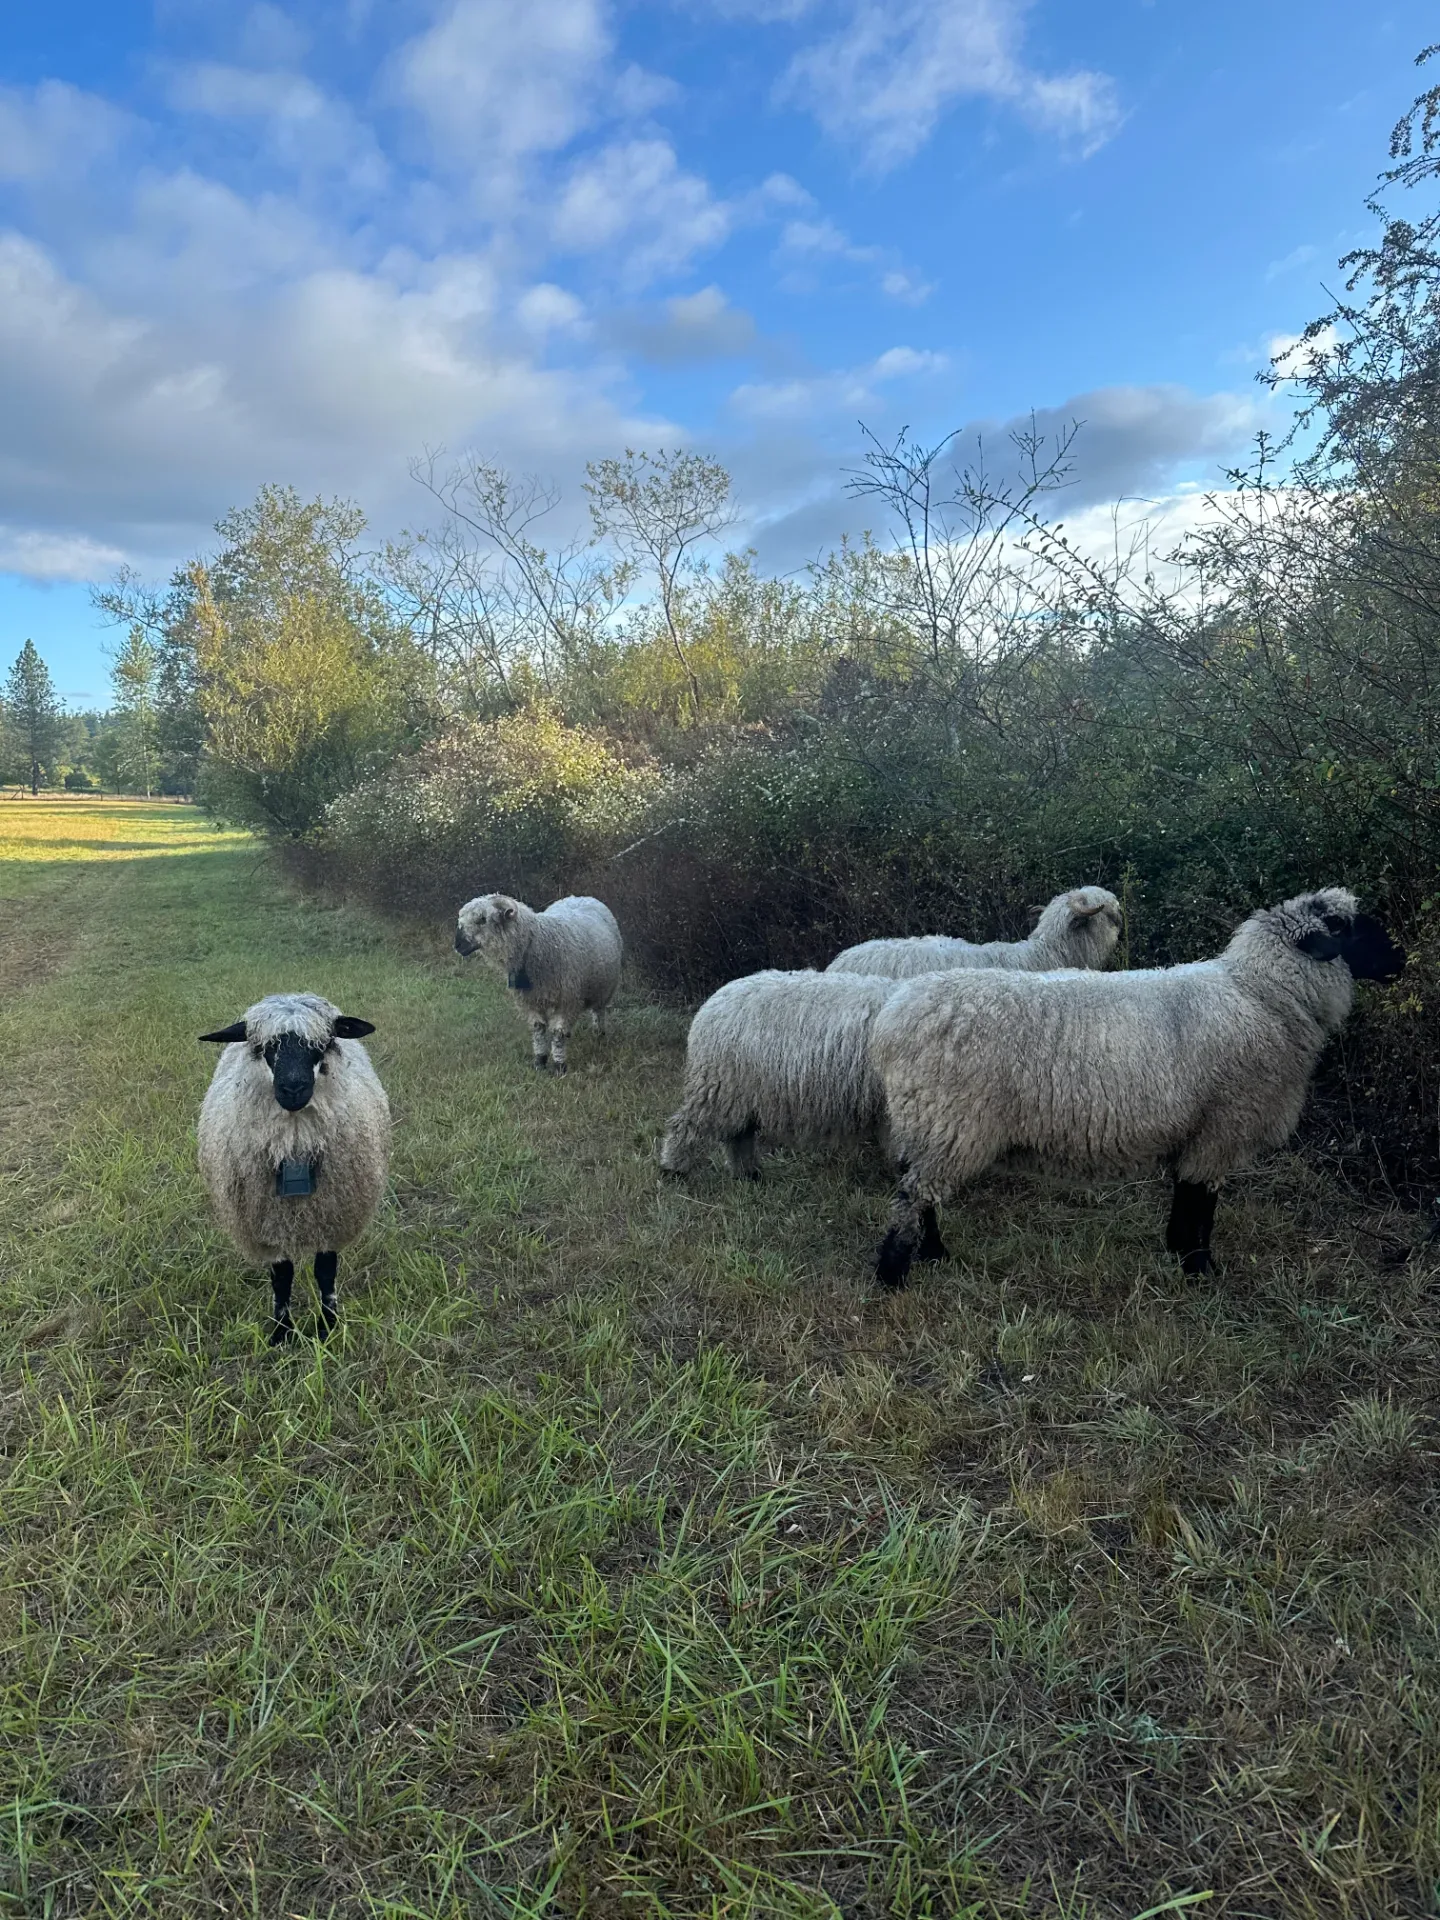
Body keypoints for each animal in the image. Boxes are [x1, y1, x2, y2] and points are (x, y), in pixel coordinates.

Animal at [198, 993, 391, 1344]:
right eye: (264, 1047)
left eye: (323, 1043)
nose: (293, 1088)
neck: (295, 1145)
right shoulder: (269, 1222)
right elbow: (282, 1276)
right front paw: (281, 1332)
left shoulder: (331, 1216)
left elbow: (325, 1272)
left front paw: (327, 1326)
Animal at [454, 892, 622, 1074]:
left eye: (482, 919)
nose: (457, 945)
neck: (537, 945)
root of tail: (580, 896)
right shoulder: (530, 1001)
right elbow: (538, 1029)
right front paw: (540, 1062)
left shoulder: (567, 1001)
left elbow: (558, 1034)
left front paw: (559, 1066)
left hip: (605, 988)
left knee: (599, 1012)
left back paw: (599, 1036)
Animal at [658, 968, 949, 1260]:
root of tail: (715, 1000)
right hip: (717, 1085)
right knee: (684, 1126)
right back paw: (672, 1170)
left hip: (740, 1094)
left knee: (739, 1135)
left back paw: (748, 1175)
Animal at [866, 887, 1404, 1291]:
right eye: (1347, 927)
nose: (1400, 958)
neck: (1262, 995)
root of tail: (894, 1015)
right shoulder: (1221, 1124)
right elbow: (1201, 1203)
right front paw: (1200, 1269)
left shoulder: (1200, 1130)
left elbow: (1186, 1196)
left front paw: (1178, 1252)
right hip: (948, 1120)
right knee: (913, 1197)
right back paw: (894, 1275)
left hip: (932, 1124)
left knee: (919, 1191)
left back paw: (934, 1254)